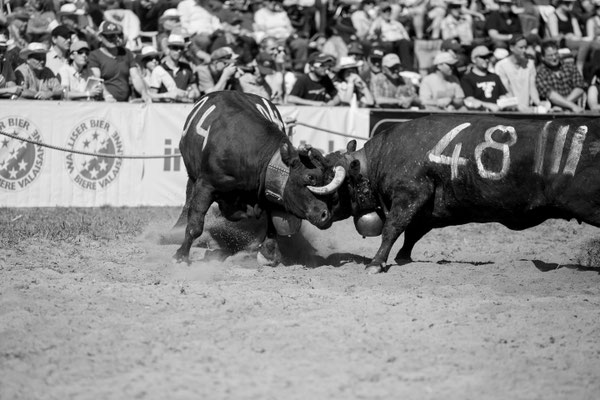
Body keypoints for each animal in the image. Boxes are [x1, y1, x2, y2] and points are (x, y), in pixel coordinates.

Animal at [322, 114, 600, 274]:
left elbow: (393, 228)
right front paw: (403, 258)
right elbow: (412, 234)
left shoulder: (410, 195)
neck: (380, 159)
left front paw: (376, 263)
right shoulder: (425, 208)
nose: (319, 214)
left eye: (332, 182)